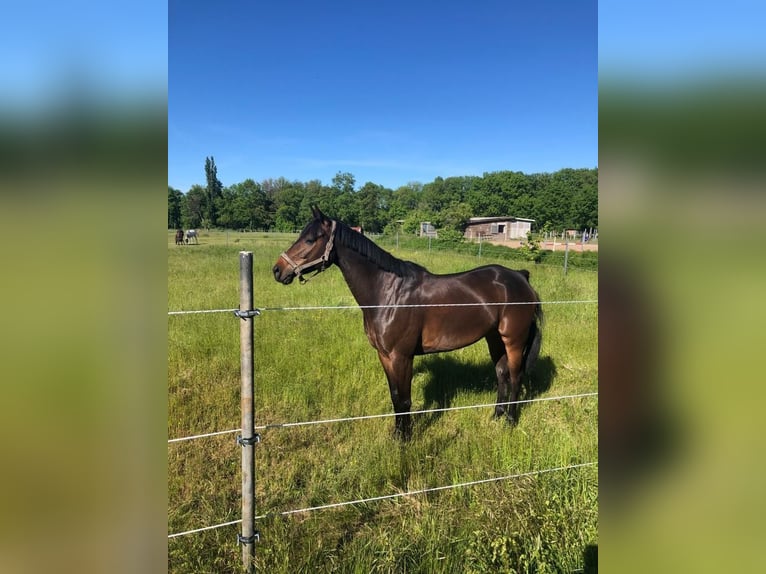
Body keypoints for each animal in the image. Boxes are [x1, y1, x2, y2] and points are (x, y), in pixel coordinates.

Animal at [272, 208, 544, 440]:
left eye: (310, 240)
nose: (277, 270)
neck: (388, 293)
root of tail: (520, 276)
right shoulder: (385, 355)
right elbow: (395, 397)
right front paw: (397, 434)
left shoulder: (401, 356)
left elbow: (404, 400)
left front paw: (406, 439)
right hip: (494, 338)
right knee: (502, 374)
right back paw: (496, 416)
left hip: (514, 340)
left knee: (515, 376)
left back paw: (510, 421)